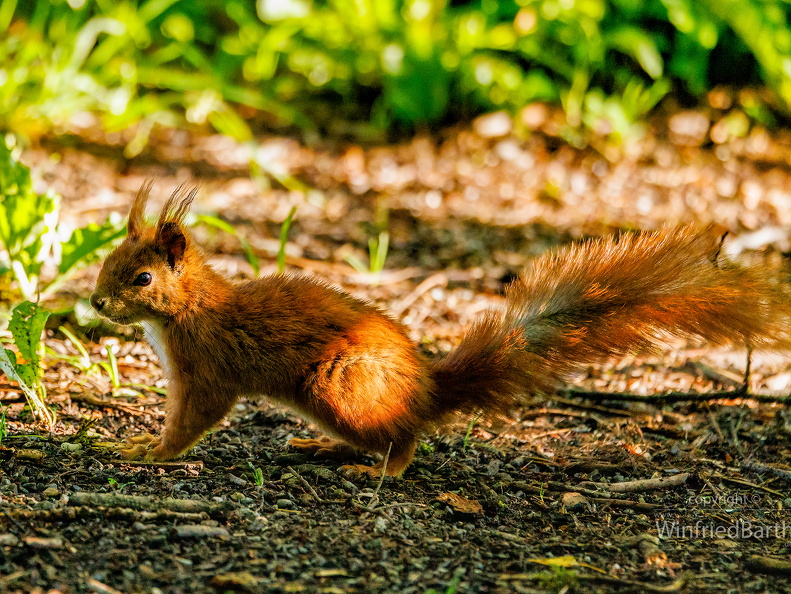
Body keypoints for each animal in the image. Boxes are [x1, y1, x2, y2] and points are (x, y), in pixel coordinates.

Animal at [89, 183, 791, 474]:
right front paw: (140, 442)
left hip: (339, 389)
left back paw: (380, 471)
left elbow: (193, 419)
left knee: (405, 440)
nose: (94, 303)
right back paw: (325, 449)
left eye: (141, 278)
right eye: (108, 261)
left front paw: (147, 453)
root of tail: (427, 389)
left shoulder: (206, 369)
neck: (187, 312)